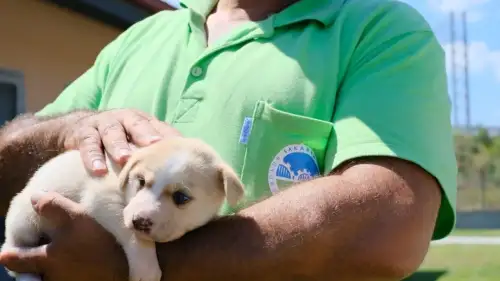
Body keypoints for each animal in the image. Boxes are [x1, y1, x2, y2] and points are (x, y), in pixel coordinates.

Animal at [1, 137, 244, 280]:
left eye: (181, 197)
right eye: (140, 181)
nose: (139, 221)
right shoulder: (103, 196)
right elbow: (133, 234)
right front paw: (146, 268)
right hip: (23, 220)